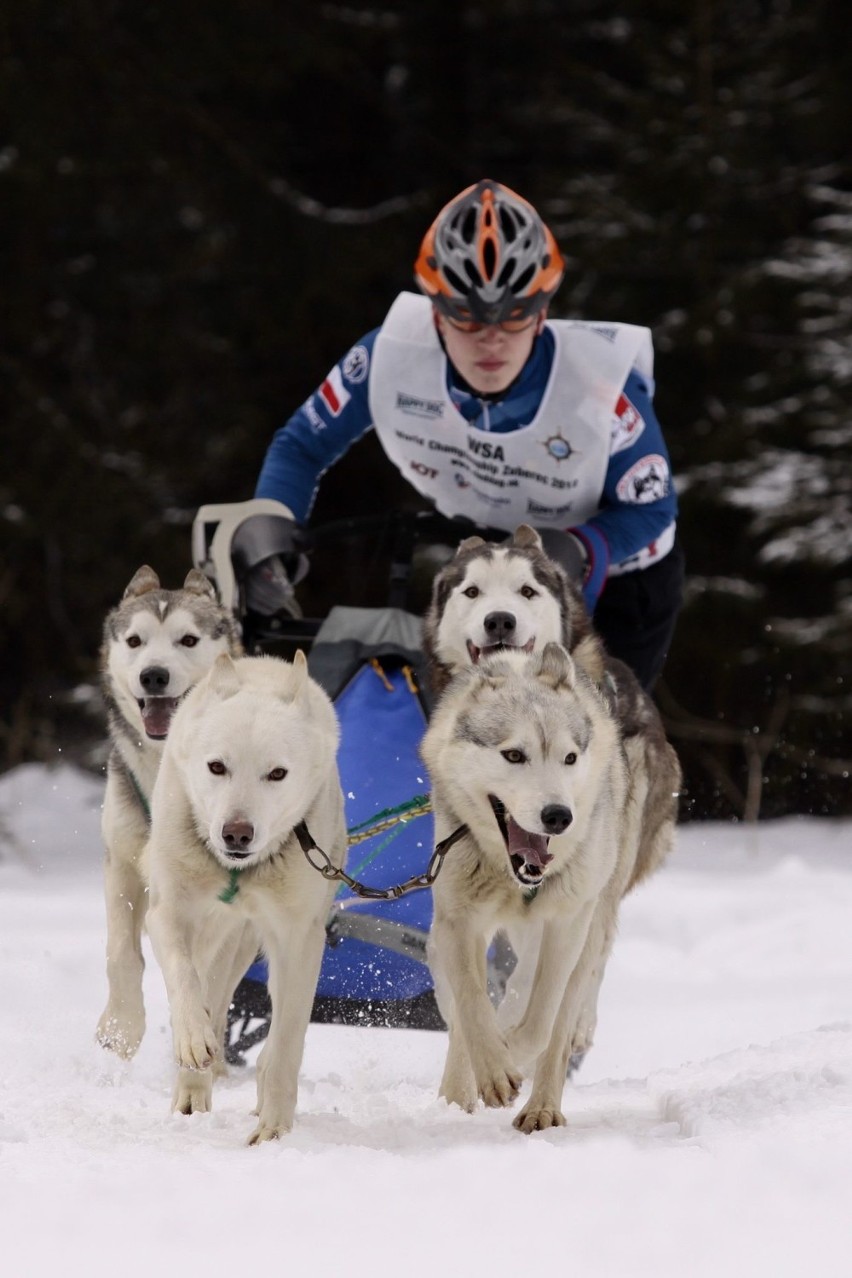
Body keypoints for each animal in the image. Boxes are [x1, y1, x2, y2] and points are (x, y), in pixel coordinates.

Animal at [97, 564, 242, 1053]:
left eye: (188, 640)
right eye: (135, 641)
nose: (154, 676)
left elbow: (207, 978)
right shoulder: (123, 862)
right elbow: (122, 953)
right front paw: (121, 1026)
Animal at [145, 654, 347, 1145]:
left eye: (277, 773)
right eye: (217, 767)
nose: (236, 833)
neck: (238, 870)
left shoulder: (298, 938)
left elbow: (289, 1037)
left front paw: (274, 1129)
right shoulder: (169, 912)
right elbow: (184, 978)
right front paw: (192, 1039)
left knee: (268, 1034)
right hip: (219, 940)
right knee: (211, 999)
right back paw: (191, 1094)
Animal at [424, 644, 684, 1134]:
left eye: (569, 758)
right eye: (513, 755)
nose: (558, 816)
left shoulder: (565, 924)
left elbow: (541, 1021)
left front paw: (512, 1055)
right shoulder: (458, 921)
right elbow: (469, 1005)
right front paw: (489, 1073)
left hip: (592, 917)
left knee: (566, 1012)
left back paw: (542, 1108)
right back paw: (459, 1094)